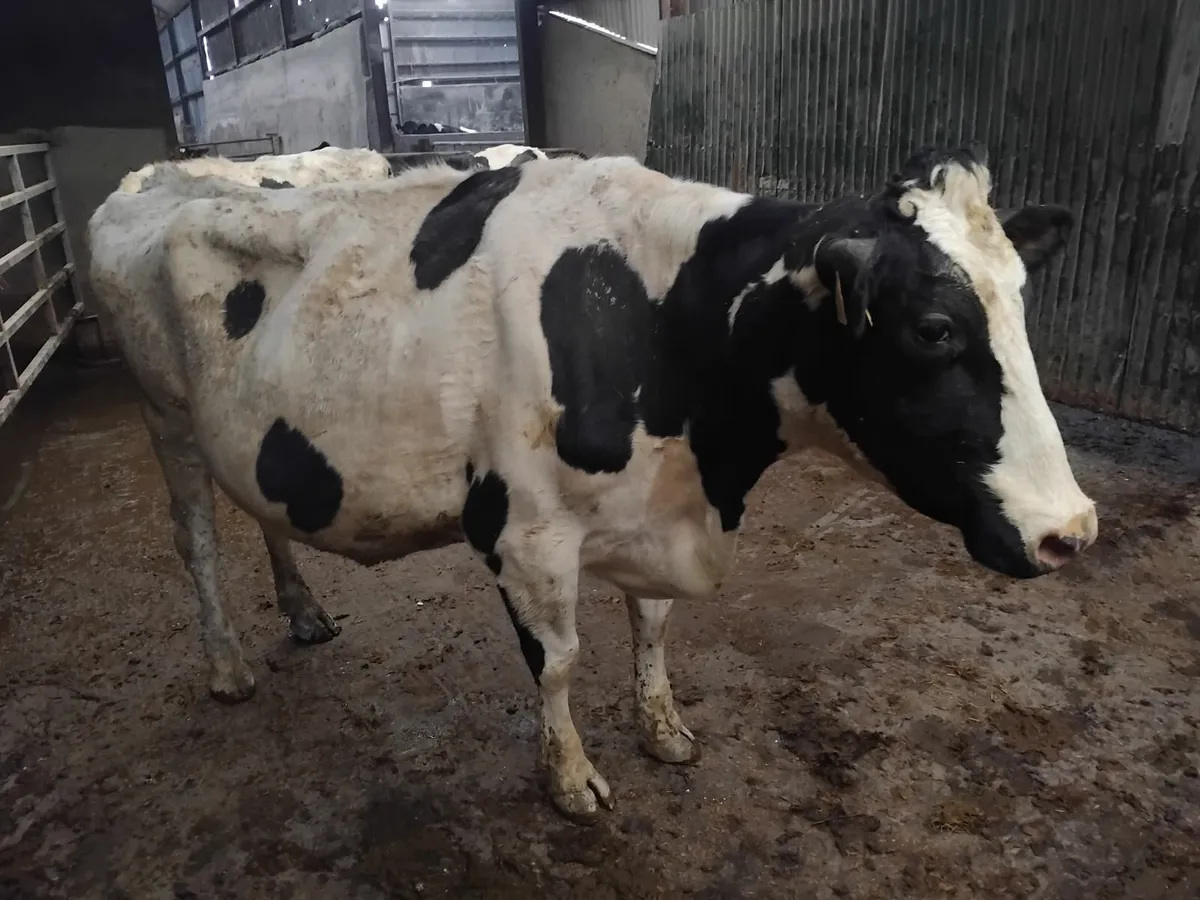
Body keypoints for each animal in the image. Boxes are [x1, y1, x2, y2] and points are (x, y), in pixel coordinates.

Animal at [87, 144, 1097, 823]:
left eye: (1021, 302)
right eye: (933, 328)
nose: (1072, 532)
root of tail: (163, 175)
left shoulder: (653, 511)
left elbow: (653, 630)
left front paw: (663, 730)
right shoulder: (523, 529)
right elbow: (560, 660)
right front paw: (570, 778)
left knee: (266, 513)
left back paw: (302, 610)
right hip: (166, 416)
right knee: (196, 539)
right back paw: (226, 665)